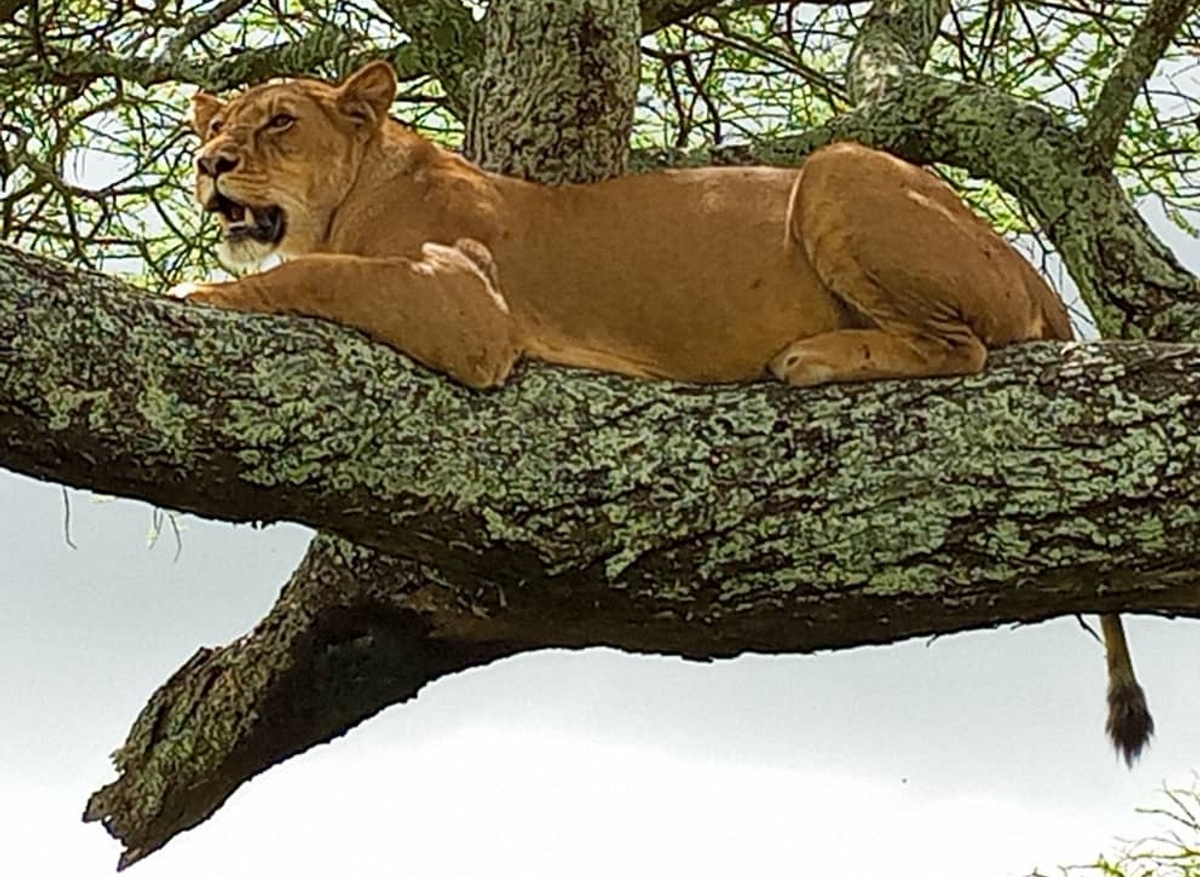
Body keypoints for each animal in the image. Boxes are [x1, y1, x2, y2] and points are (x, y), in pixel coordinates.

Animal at [176, 60, 1153, 764]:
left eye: (278, 121)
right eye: (215, 127)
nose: (208, 165)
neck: (356, 192)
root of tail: (1030, 270)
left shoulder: (467, 303)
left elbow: (319, 275)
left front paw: (202, 290)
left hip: (837, 168)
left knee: (963, 347)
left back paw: (813, 357)